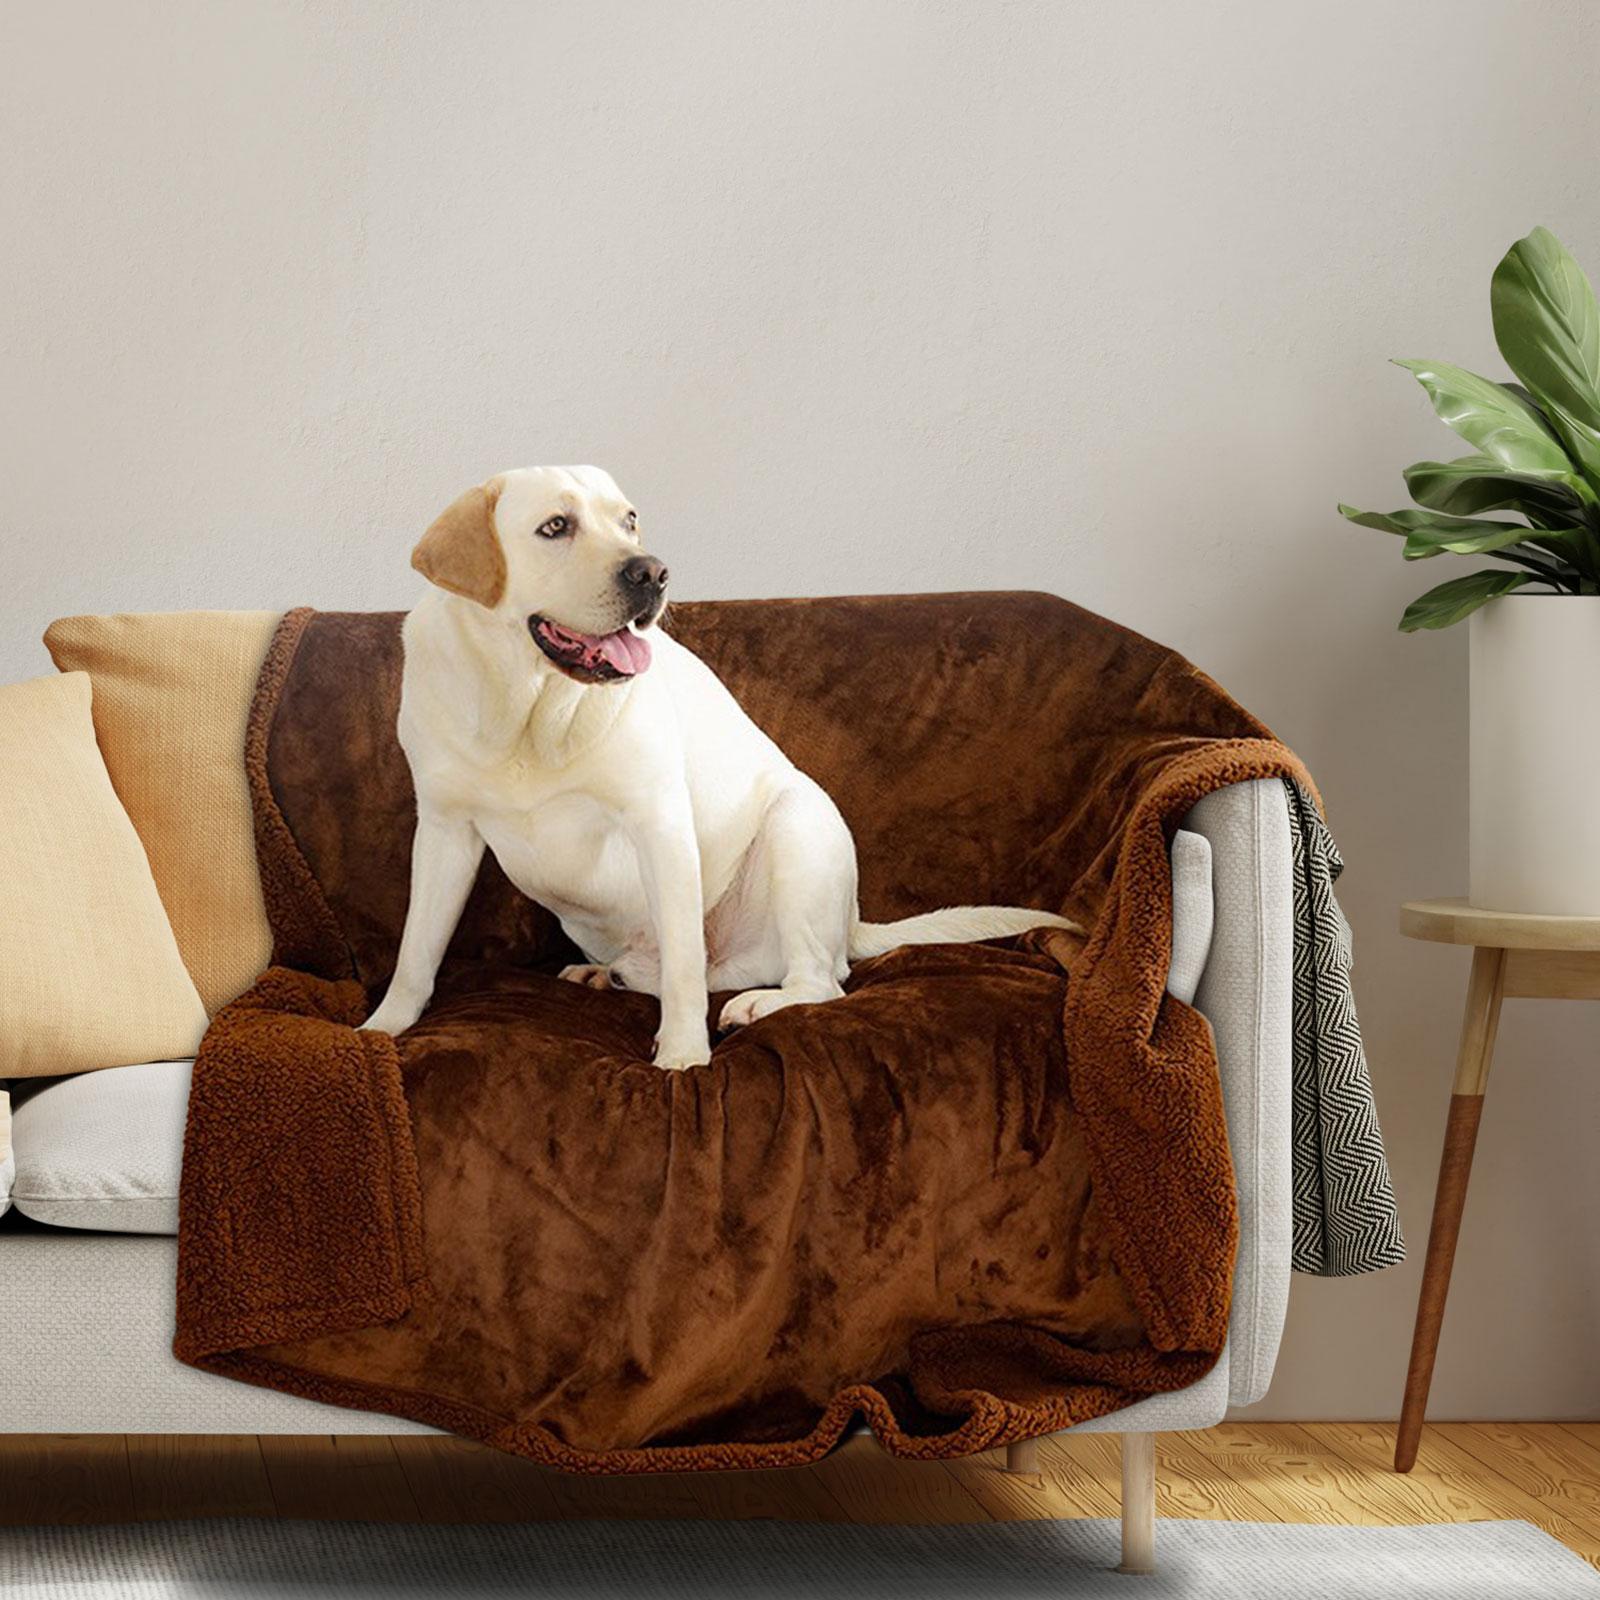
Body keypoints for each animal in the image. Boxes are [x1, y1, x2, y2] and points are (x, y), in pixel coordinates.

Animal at [361, 466, 1079, 1069]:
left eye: (629, 520)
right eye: (555, 526)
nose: (653, 572)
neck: (528, 707)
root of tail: (852, 922)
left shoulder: (660, 825)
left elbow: (684, 965)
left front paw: (682, 1056)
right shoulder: (445, 833)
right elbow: (416, 951)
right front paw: (383, 1027)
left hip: (797, 827)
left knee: (817, 981)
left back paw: (763, 1002)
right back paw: (605, 974)